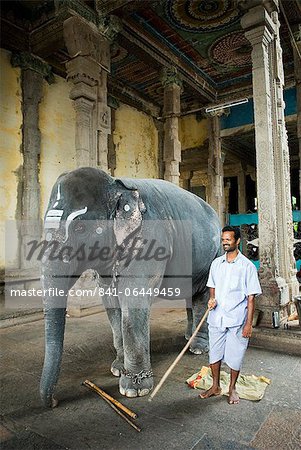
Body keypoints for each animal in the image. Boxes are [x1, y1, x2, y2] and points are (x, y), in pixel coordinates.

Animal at [38, 168, 219, 408]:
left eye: (80, 228)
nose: (55, 402)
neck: (116, 186)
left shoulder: (150, 240)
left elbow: (133, 302)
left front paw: (134, 389)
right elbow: (111, 304)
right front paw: (117, 368)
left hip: (213, 255)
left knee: (203, 296)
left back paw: (197, 348)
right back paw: (188, 338)